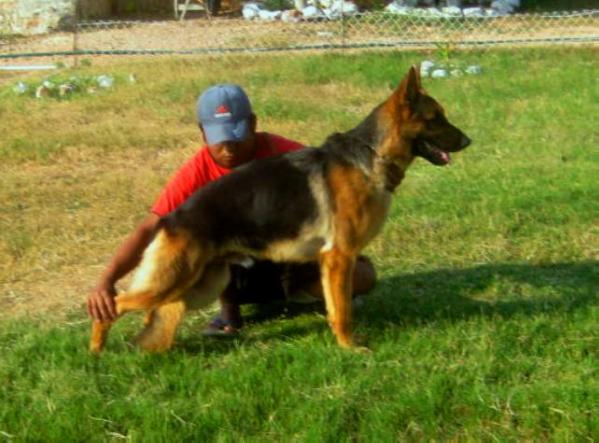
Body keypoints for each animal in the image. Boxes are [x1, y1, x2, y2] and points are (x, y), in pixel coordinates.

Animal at [91, 67, 472, 354]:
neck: (371, 154)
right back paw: (97, 352)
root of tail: (169, 219)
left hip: (200, 284)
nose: (469, 141)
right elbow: (343, 312)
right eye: (436, 118)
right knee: (116, 305)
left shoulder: (333, 262)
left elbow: (337, 307)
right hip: (176, 280)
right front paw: (350, 347)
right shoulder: (339, 257)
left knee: (151, 314)